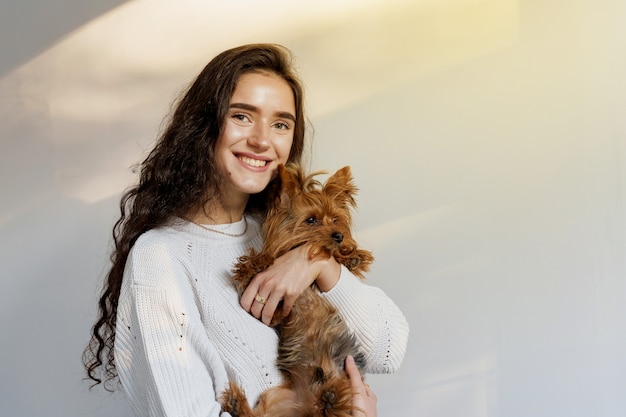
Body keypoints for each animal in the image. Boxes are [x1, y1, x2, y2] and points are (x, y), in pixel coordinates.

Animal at [222, 162, 372, 416]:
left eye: (335, 219)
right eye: (311, 220)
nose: (339, 236)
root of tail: (308, 407)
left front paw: (353, 257)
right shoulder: (274, 311)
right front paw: (254, 264)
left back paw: (331, 397)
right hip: (275, 400)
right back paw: (237, 403)